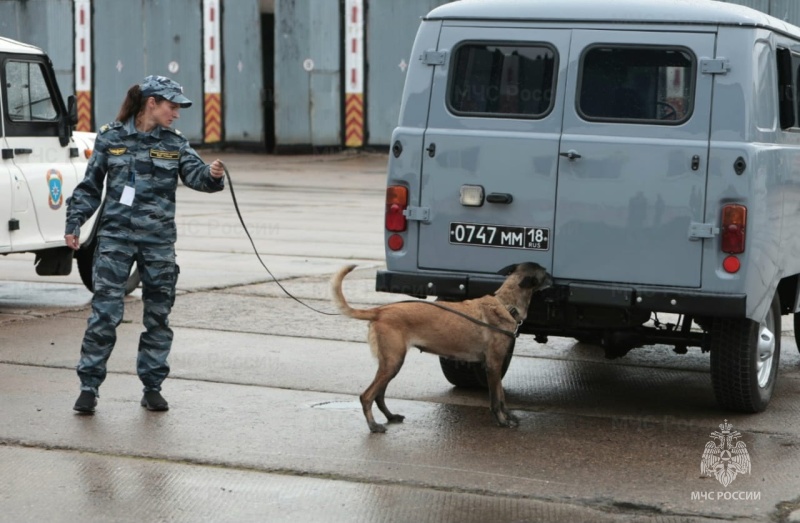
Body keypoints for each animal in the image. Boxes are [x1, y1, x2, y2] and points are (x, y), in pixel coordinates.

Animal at [330, 262, 552, 434]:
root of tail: (380, 311)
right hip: (393, 362)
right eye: (544, 272)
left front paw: (508, 416)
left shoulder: (495, 366)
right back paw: (374, 426)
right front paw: (502, 421)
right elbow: (496, 398)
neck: (505, 304)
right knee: (367, 396)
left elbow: (502, 396)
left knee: (379, 395)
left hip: (389, 364)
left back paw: (391, 417)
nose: (554, 277)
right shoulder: (493, 366)